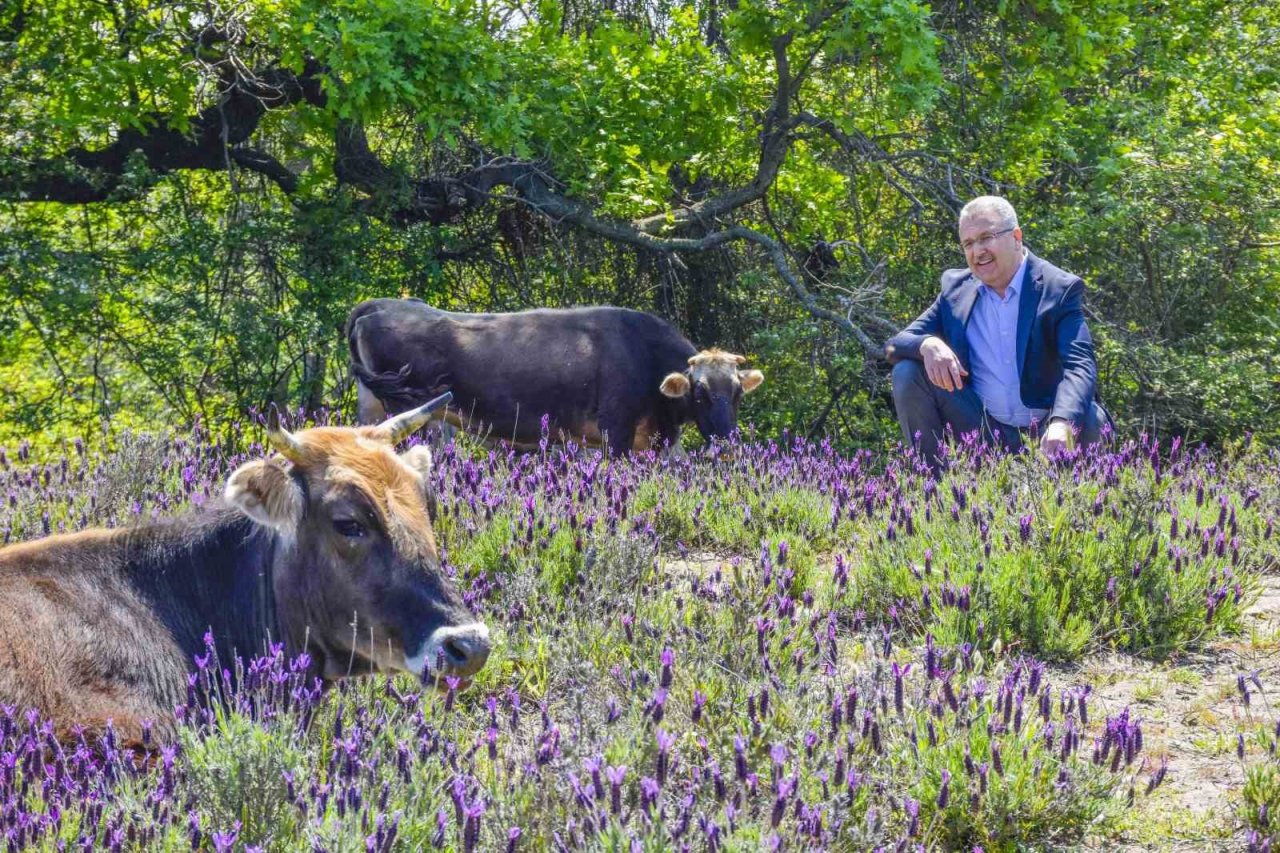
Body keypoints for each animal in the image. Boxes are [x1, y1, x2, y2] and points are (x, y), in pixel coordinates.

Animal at [345, 298, 762, 450]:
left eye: (738, 393)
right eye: (699, 393)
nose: (729, 440)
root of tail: (380, 305)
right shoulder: (616, 432)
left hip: (374, 407)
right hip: (412, 413)